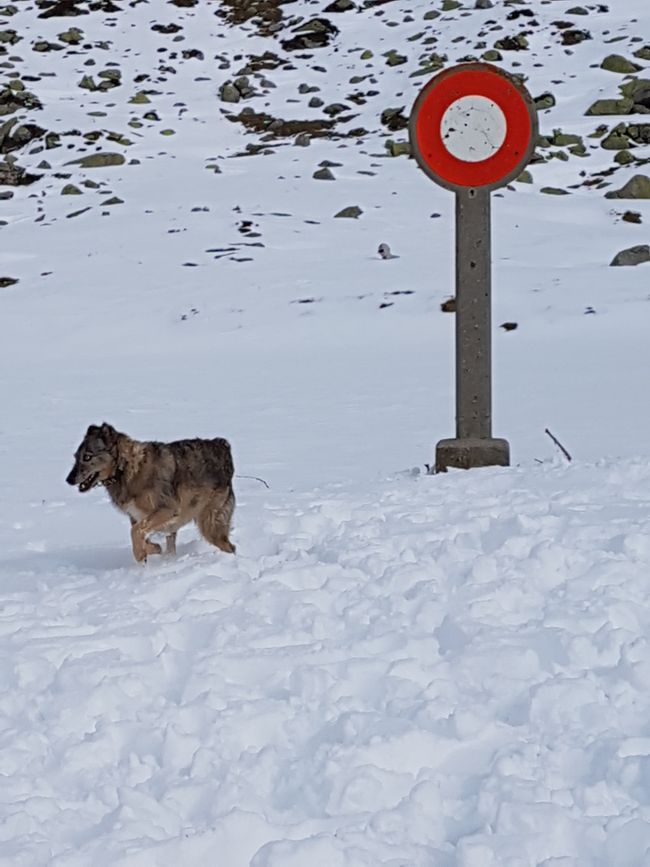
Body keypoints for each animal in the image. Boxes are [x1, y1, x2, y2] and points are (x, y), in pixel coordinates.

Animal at [65, 426, 235, 564]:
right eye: (75, 457)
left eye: (87, 457)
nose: (69, 479)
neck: (125, 469)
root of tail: (223, 446)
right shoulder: (137, 517)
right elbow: (141, 534)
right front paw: (153, 549)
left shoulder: (167, 510)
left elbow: (136, 532)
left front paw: (141, 554)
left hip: (210, 525)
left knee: (231, 547)